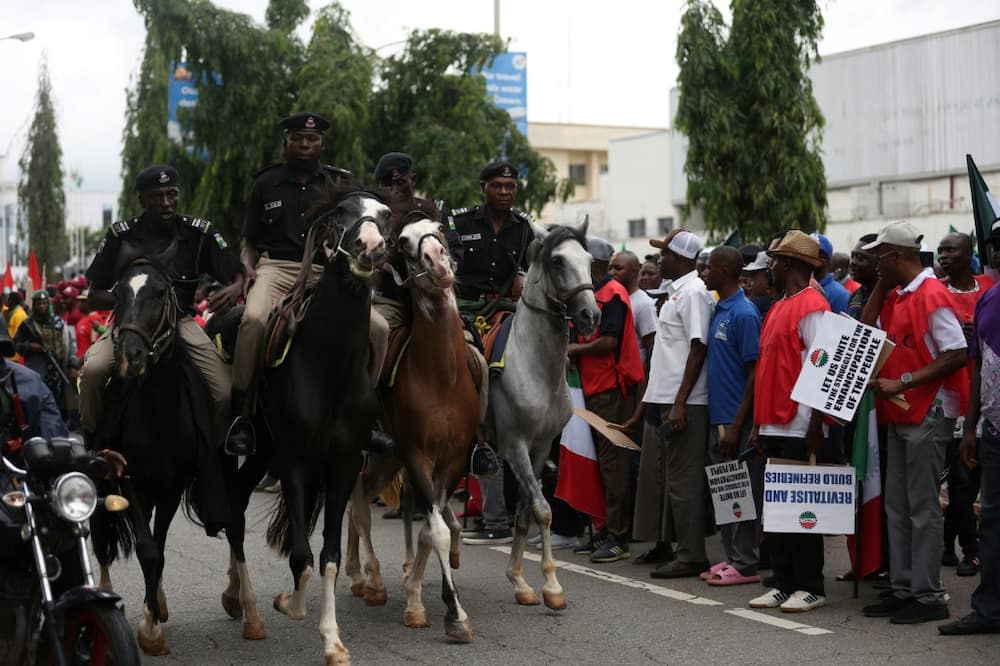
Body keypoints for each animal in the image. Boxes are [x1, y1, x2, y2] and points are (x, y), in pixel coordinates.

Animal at [89, 240, 229, 652]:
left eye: (159, 292)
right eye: (119, 294)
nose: (130, 355)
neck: (157, 411)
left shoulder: (171, 486)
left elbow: (160, 549)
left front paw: (154, 614)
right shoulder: (130, 478)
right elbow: (147, 549)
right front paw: (149, 629)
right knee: (104, 537)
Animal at [217, 189, 388, 660]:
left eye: (385, 215)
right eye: (341, 214)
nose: (370, 245)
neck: (328, 366)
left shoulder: (343, 463)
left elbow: (328, 555)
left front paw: (332, 640)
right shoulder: (295, 460)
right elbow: (300, 557)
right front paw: (287, 603)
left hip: (265, 456)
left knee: (237, 505)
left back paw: (238, 599)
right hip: (257, 450)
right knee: (233, 511)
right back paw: (248, 608)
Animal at [348, 217, 480, 640]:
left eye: (439, 228)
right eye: (404, 242)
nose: (438, 262)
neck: (441, 376)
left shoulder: (452, 461)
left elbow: (430, 528)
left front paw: (418, 594)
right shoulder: (416, 454)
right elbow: (436, 530)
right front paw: (453, 614)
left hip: (388, 460)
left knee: (364, 496)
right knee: (356, 502)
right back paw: (369, 580)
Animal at [486, 218, 596, 608]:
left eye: (590, 260)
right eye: (558, 261)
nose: (591, 315)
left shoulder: (540, 447)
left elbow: (525, 513)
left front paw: (521, 581)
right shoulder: (514, 445)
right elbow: (544, 509)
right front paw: (551, 585)